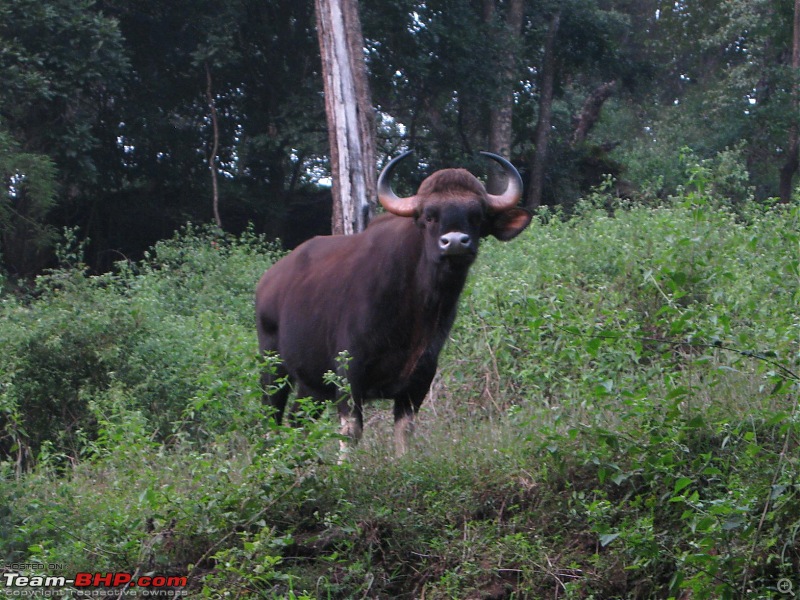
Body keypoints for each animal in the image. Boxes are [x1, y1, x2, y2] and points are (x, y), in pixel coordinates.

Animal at [256, 151, 532, 454]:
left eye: (477, 216)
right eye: (429, 216)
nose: (455, 242)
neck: (414, 309)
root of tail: (268, 282)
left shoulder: (419, 379)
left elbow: (405, 433)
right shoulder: (348, 373)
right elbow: (350, 433)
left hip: (312, 384)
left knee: (297, 423)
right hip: (272, 365)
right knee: (270, 420)